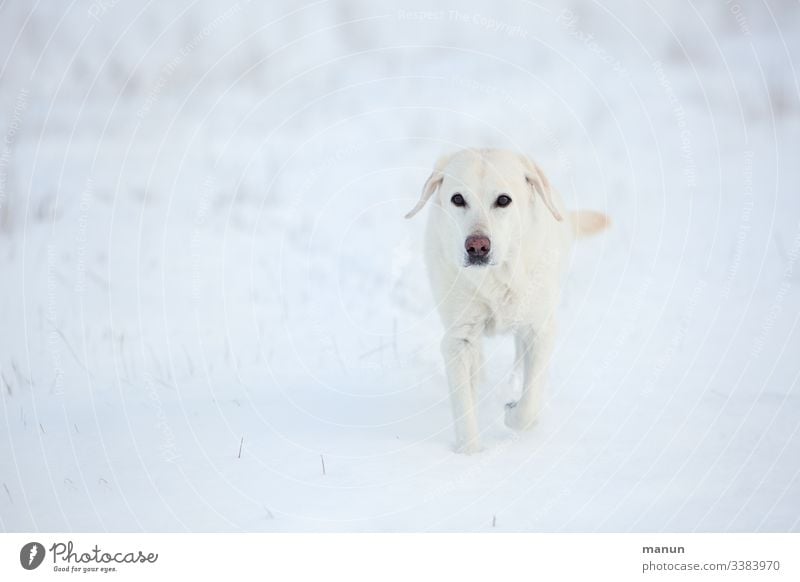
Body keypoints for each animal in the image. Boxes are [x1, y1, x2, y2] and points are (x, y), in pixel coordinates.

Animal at [406, 148, 608, 454]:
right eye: (457, 199)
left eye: (503, 200)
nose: (477, 246)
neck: (495, 277)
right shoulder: (458, 339)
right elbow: (464, 407)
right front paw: (468, 454)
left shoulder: (540, 330)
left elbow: (529, 405)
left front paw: (514, 412)